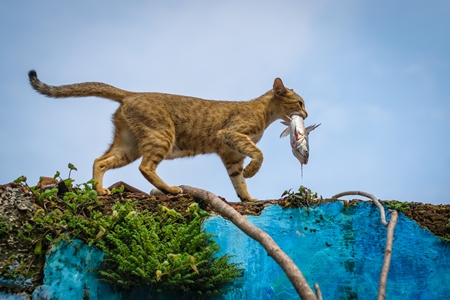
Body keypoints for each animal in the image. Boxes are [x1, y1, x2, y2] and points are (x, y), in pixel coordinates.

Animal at [29, 70, 310, 202]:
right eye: (299, 103)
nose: (306, 115)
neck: (263, 113)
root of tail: (131, 94)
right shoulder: (231, 134)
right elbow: (258, 155)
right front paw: (252, 173)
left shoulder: (231, 154)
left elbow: (238, 181)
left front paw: (248, 198)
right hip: (161, 136)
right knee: (145, 167)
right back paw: (171, 189)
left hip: (128, 145)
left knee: (100, 161)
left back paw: (100, 190)